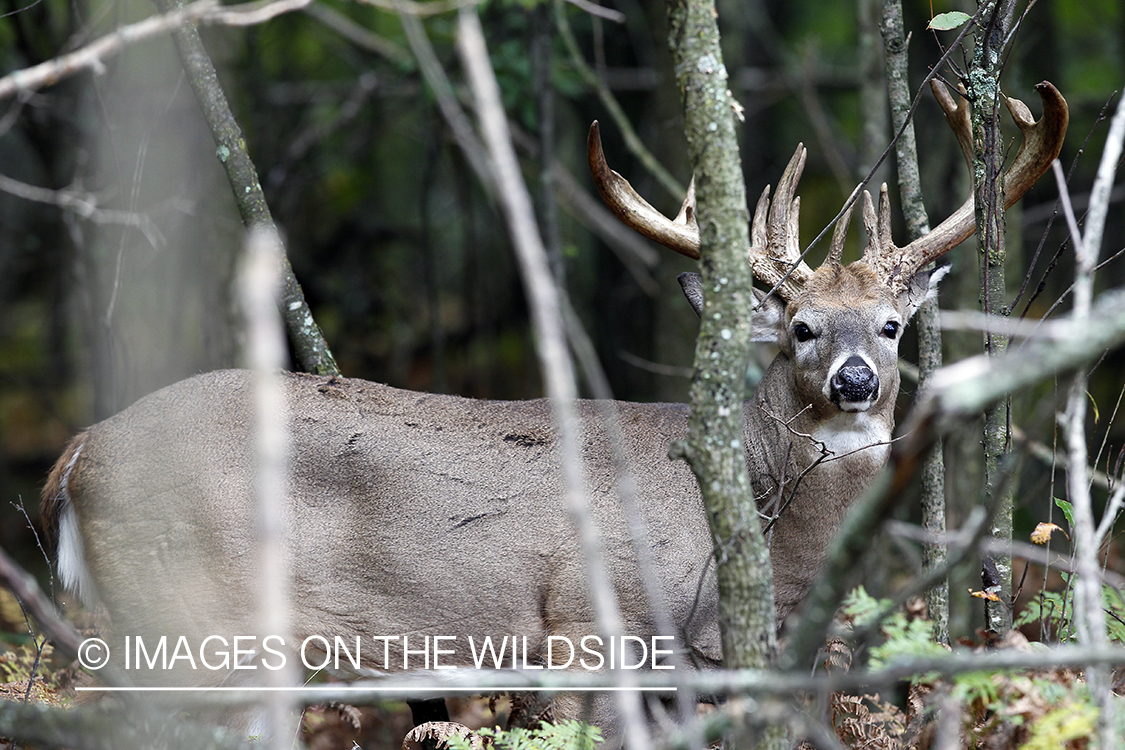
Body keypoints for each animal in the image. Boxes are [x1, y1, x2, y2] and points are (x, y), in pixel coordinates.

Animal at [41, 80, 1062, 737]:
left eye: (891, 326)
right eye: (801, 329)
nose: (854, 380)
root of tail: (78, 453)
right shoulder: (585, 626)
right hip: (194, 611)